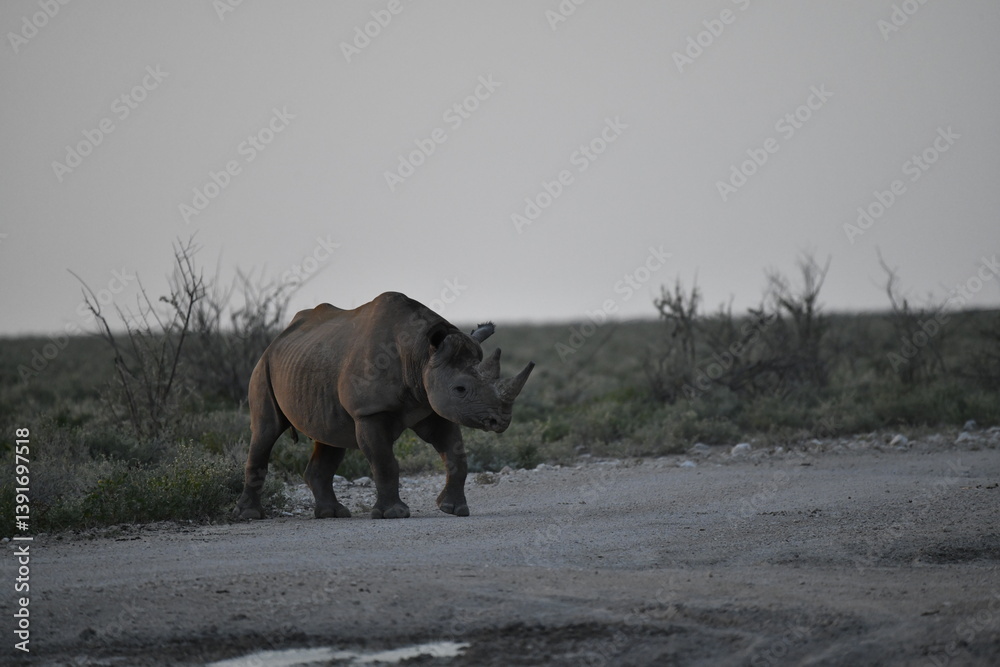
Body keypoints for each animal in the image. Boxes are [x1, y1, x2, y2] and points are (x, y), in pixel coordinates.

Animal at [235, 291, 534, 520]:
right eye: (460, 389)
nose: (501, 420)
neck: (419, 354)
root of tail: (278, 338)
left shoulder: (431, 404)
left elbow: (455, 454)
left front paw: (454, 509)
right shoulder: (370, 412)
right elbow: (384, 461)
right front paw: (394, 514)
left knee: (331, 437)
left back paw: (333, 514)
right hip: (263, 367)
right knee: (266, 431)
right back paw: (250, 516)